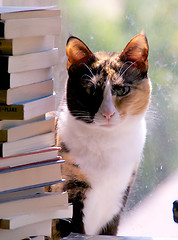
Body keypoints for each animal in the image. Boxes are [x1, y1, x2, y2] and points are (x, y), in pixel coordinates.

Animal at [51, 31, 152, 238]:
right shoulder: (69, 190)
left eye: (122, 89)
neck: (107, 143)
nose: (107, 113)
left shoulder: (119, 196)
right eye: (90, 89)